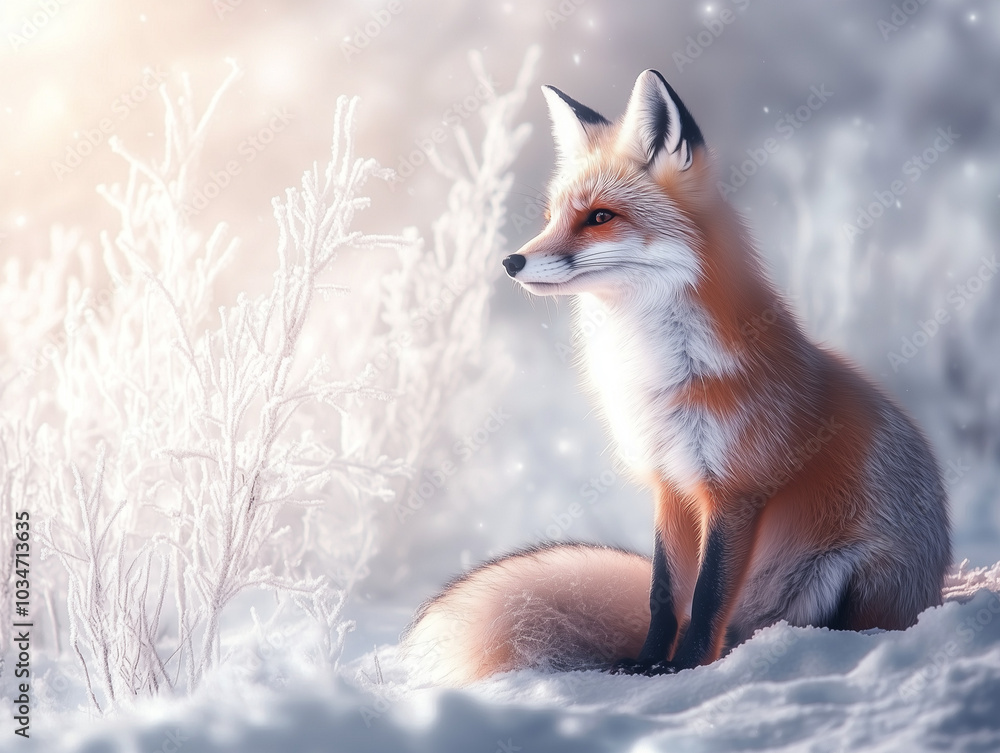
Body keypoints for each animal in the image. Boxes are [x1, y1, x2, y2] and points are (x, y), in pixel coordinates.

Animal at [402, 70, 950, 686]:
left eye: (599, 217)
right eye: (550, 216)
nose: (511, 261)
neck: (660, 374)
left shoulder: (735, 489)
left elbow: (707, 597)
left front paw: (686, 671)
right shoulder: (668, 480)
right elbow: (664, 595)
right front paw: (647, 665)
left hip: (848, 574)